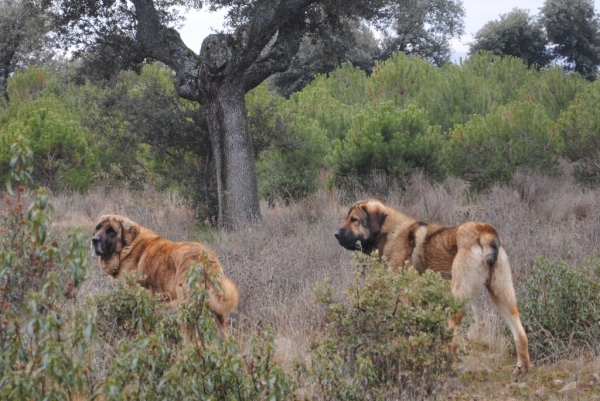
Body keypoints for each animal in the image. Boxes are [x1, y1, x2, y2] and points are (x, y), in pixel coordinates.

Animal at [91, 216, 239, 334]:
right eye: (98, 228)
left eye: (111, 231)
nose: (94, 240)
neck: (125, 248)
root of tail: (205, 259)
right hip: (217, 314)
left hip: (186, 312)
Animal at [336, 198, 532, 374]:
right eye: (347, 218)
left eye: (354, 220)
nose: (336, 234)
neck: (390, 232)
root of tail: (485, 232)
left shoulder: (406, 297)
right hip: (503, 296)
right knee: (520, 333)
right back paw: (523, 367)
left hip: (458, 296)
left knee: (454, 335)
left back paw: (445, 363)